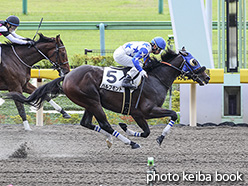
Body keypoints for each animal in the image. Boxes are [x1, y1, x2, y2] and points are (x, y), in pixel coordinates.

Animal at [5, 47, 209, 148]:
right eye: (194, 61)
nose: (207, 77)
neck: (155, 78)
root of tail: (67, 76)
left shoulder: (138, 114)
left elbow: (146, 131)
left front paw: (127, 127)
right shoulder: (146, 110)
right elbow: (172, 115)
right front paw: (159, 138)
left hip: (88, 102)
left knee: (87, 123)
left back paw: (112, 140)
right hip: (93, 101)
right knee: (104, 124)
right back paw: (130, 143)